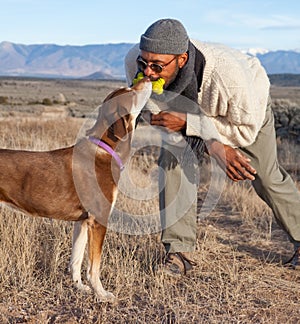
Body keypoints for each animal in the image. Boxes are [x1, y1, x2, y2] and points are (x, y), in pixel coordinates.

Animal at [0, 78, 151, 302]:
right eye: (131, 92)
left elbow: (76, 260)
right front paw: (102, 294)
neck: (104, 149)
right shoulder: (99, 220)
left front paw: (80, 287)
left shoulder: (82, 222)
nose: (148, 77)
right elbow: (94, 267)